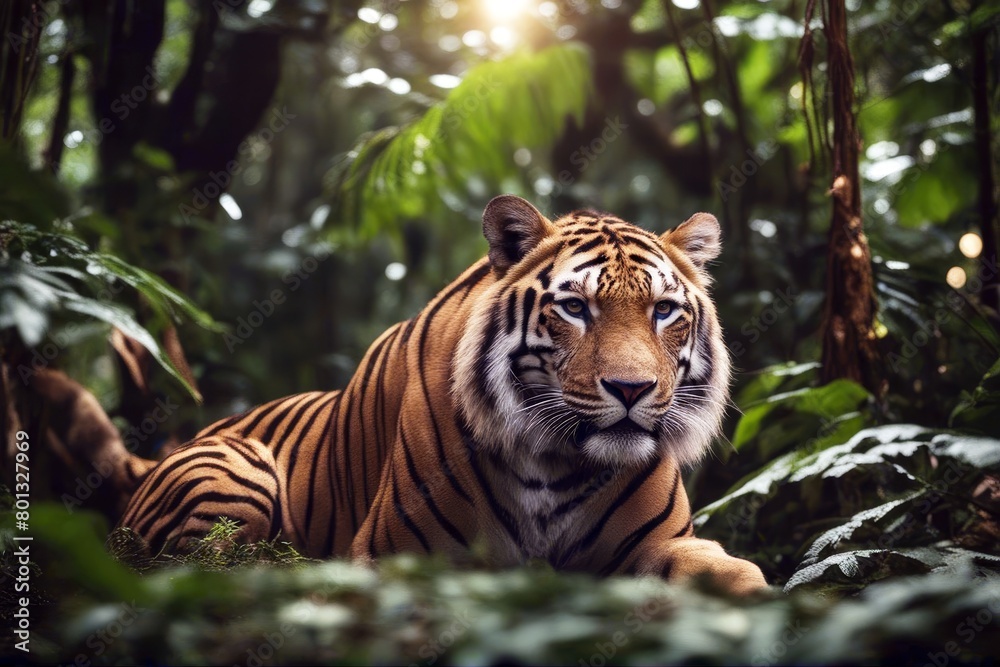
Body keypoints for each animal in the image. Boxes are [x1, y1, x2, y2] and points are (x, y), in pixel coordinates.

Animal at [115, 194, 767, 594]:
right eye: (576, 308)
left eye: (663, 311)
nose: (632, 389)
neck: (560, 469)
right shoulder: (395, 554)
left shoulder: (666, 541)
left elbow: (733, 571)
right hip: (237, 470)